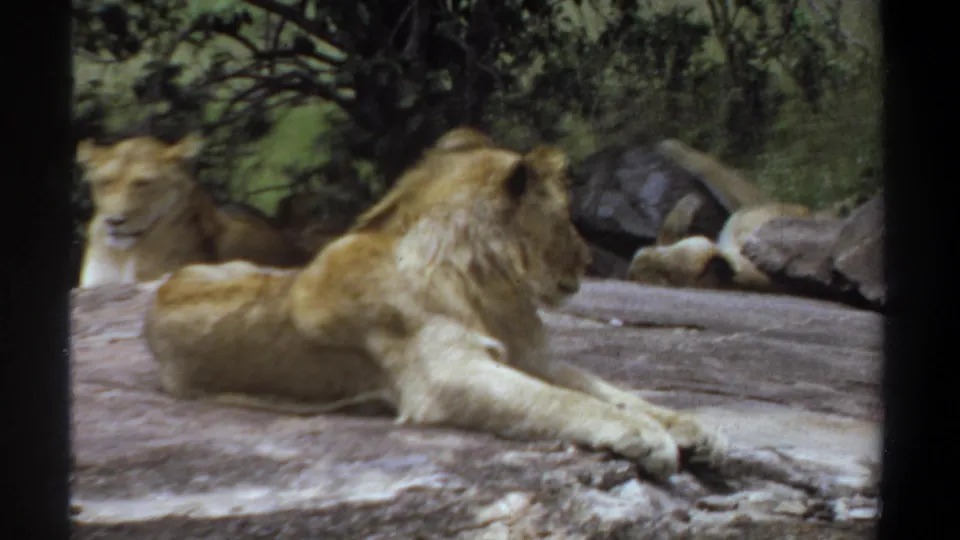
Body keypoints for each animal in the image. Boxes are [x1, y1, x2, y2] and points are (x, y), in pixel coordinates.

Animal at [142, 127, 726, 481]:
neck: (488, 285)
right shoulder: (446, 375)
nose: (587, 261)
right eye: (566, 217)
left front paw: (690, 427)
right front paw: (644, 436)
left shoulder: (531, 356)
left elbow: (609, 389)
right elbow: (564, 402)